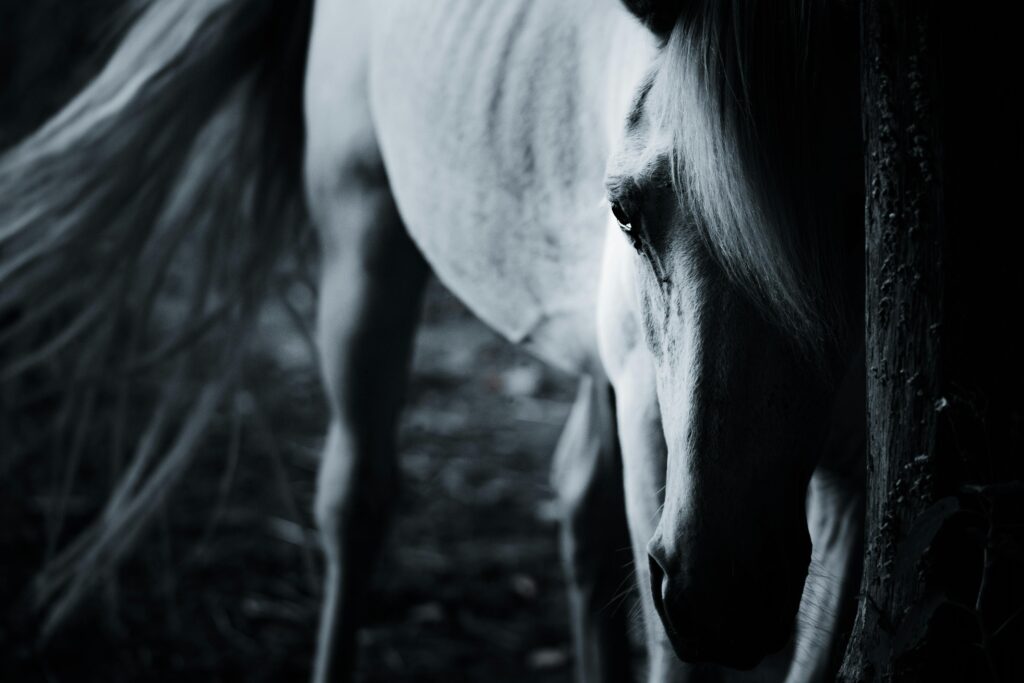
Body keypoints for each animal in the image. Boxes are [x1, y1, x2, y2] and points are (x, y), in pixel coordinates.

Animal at [0, 0, 866, 681]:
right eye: (626, 212)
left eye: (858, 221)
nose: (725, 594)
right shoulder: (656, 433)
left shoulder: (851, 479)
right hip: (364, 242)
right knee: (357, 498)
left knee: (578, 503)